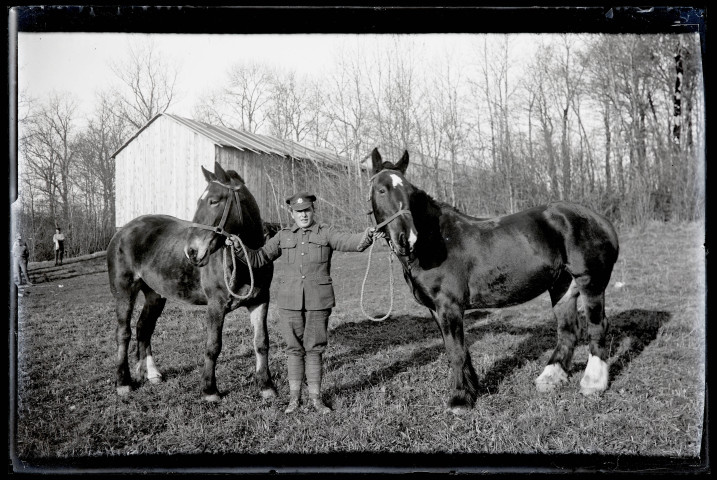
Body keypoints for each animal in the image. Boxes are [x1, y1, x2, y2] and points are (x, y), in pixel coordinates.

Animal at [107, 161, 276, 402]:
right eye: (199, 201)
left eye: (214, 201)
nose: (192, 252)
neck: (247, 260)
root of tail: (123, 231)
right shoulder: (216, 306)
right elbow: (213, 346)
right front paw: (210, 390)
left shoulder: (260, 301)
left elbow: (261, 342)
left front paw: (266, 386)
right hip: (124, 292)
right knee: (123, 333)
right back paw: (123, 382)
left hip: (155, 295)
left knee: (144, 328)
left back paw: (151, 374)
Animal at [366, 148, 620, 414]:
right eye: (381, 190)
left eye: (410, 193)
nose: (407, 238)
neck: (437, 242)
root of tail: (601, 221)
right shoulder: (436, 310)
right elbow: (458, 349)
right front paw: (472, 390)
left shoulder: (449, 306)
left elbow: (456, 352)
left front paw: (459, 399)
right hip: (562, 286)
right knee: (568, 330)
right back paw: (550, 377)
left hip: (590, 282)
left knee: (597, 326)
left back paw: (593, 383)